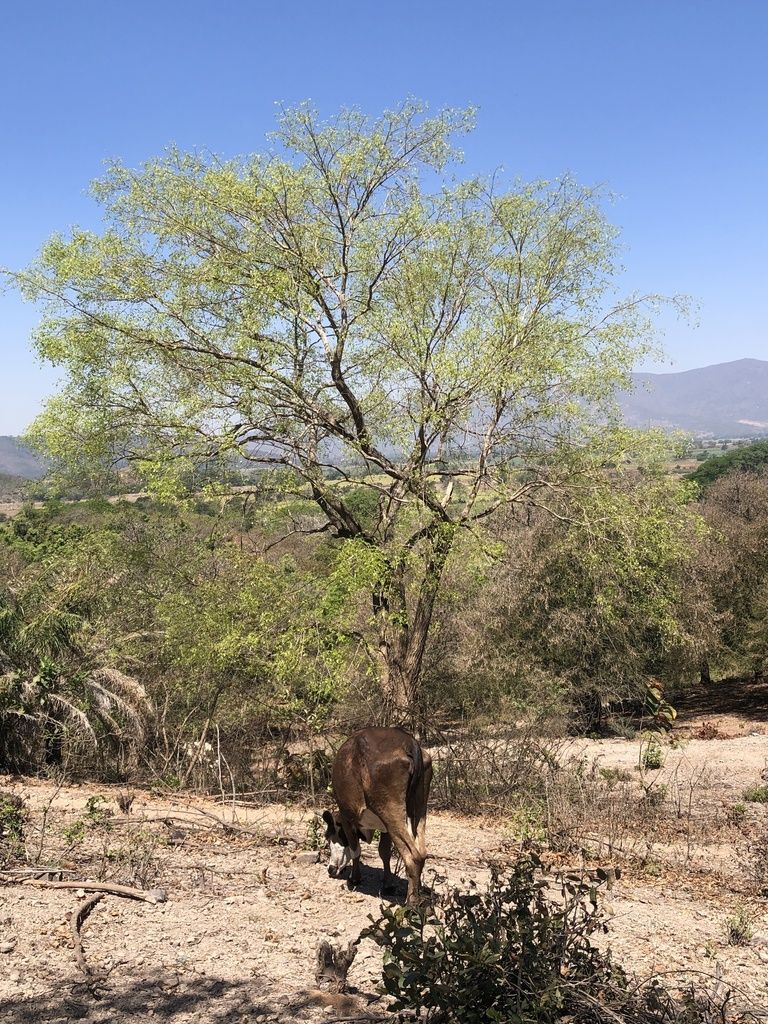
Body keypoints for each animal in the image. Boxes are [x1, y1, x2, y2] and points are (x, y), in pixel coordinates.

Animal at [322, 727, 432, 905]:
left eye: (329, 836)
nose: (331, 869)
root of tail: (409, 742)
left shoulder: (347, 818)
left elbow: (355, 848)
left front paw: (355, 878)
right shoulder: (385, 828)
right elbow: (384, 852)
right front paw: (387, 884)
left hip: (390, 811)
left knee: (413, 856)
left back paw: (412, 902)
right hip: (419, 809)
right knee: (421, 852)